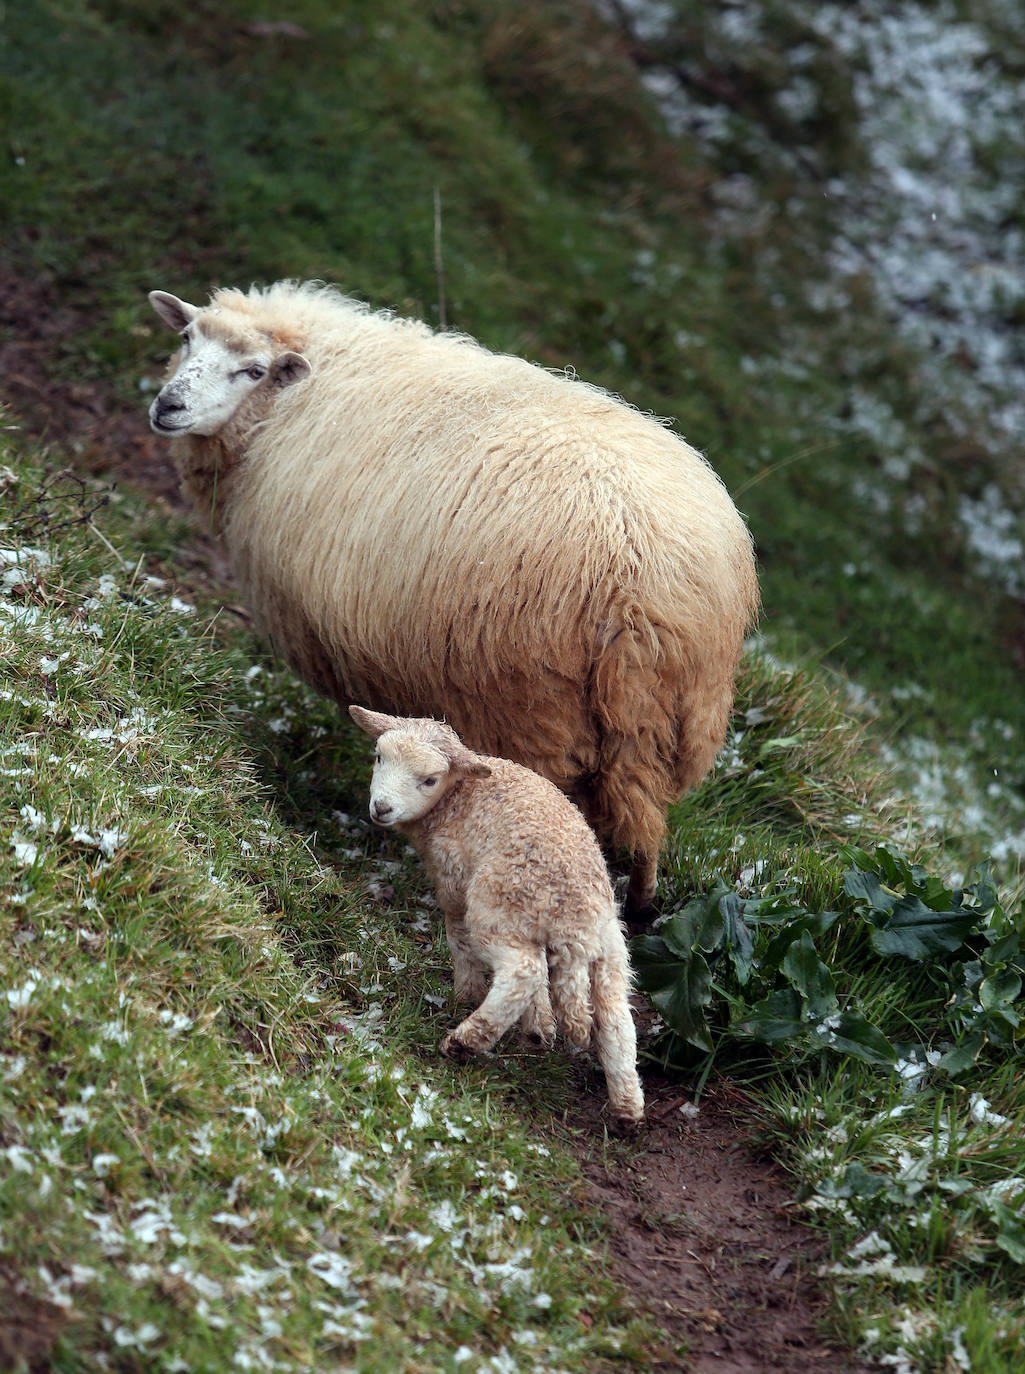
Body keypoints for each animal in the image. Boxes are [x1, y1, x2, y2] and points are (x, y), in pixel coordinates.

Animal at [145, 281, 758, 923]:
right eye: (186, 338)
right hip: (670, 721)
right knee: (645, 823)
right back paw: (639, 906)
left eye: (254, 369)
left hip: (530, 707)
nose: (168, 406)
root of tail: (640, 585)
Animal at [347, 703, 643, 1132]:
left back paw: (464, 1041)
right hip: (607, 948)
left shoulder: (453, 879)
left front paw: (466, 993)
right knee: (615, 1018)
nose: (381, 808)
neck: (457, 797)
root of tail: (575, 919)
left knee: (523, 972)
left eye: (429, 780)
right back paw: (626, 1109)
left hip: (498, 906)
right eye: (378, 757)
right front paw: (539, 1026)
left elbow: (458, 937)